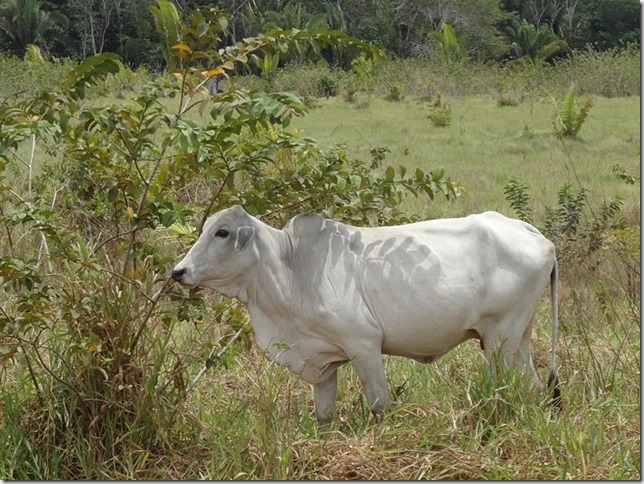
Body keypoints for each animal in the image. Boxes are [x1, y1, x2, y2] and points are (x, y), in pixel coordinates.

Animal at [171, 204, 560, 424]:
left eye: (222, 232)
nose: (179, 271)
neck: (291, 266)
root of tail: (534, 234)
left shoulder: (364, 344)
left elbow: (378, 403)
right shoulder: (322, 361)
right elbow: (323, 414)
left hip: (499, 339)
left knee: (505, 386)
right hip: (519, 338)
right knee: (532, 385)